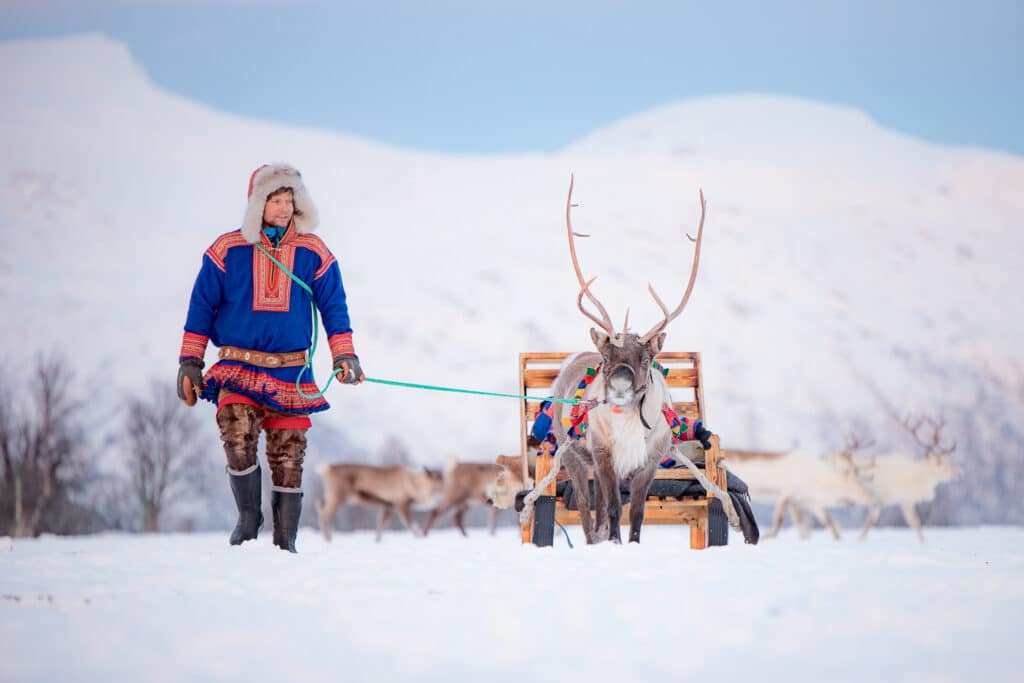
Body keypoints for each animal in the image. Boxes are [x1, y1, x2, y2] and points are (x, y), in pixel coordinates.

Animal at [315, 463, 444, 543]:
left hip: (331, 495)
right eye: (436, 479)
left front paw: (377, 540)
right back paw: (327, 538)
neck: (414, 488)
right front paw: (418, 536)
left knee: (320, 503)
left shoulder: (387, 505)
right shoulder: (400, 503)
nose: (445, 487)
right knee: (325, 513)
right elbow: (409, 523)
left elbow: (381, 524)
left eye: (442, 478)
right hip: (338, 496)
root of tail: (327, 469)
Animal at [520, 174, 730, 544]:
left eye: (647, 358)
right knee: (588, 507)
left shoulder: (649, 460)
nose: (619, 387)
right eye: (607, 357)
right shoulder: (603, 455)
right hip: (572, 455)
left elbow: (636, 512)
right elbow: (612, 508)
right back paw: (594, 537)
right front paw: (614, 542)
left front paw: (630, 541)